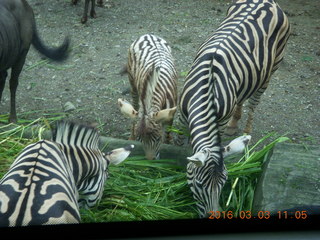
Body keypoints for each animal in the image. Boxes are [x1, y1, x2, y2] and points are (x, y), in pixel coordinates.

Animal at [179, 0, 292, 218]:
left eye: (223, 184)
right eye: (199, 185)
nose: (213, 216)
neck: (207, 89)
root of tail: (269, 2)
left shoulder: (219, 122)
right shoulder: (181, 117)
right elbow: (179, 145)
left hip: (271, 69)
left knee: (254, 103)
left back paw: (247, 132)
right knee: (242, 97)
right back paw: (235, 124)